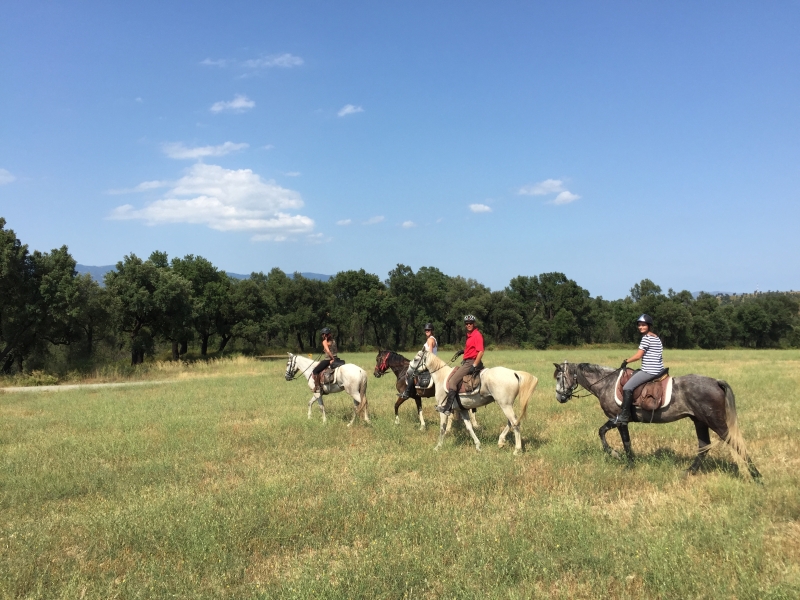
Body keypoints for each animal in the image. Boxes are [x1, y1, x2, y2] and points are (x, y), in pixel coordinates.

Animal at [552, 360, 760, 478]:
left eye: (559, 377)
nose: (559, 397)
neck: (606, 383)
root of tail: (715, 382)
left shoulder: (618, 419)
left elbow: (616, 438)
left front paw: (621, 458)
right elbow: (611, 436)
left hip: (715, 421)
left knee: (735, 443)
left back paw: (756, 475)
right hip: (699, 421)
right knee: (704, 446)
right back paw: (688, 472)